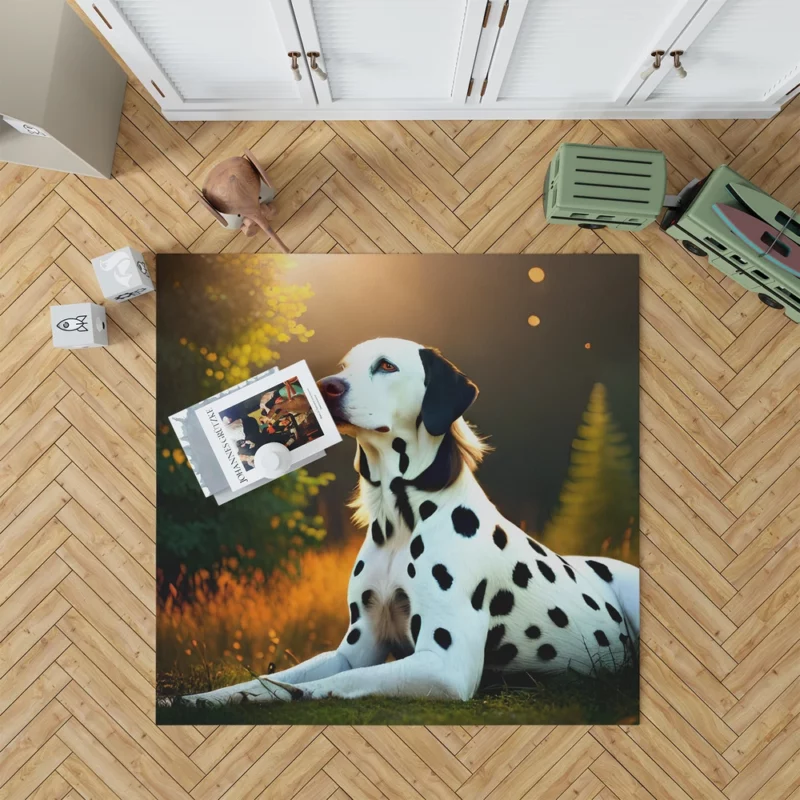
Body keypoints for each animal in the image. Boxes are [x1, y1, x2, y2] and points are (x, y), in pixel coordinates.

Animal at [167, 338, 636, 708]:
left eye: (387, 366)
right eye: (344, 367)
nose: (326, 386)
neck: (401, 520)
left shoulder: (444, 664)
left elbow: (338, 682)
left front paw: (298, 694)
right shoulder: (356, 645)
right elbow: (272, 679)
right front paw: (197, 699)